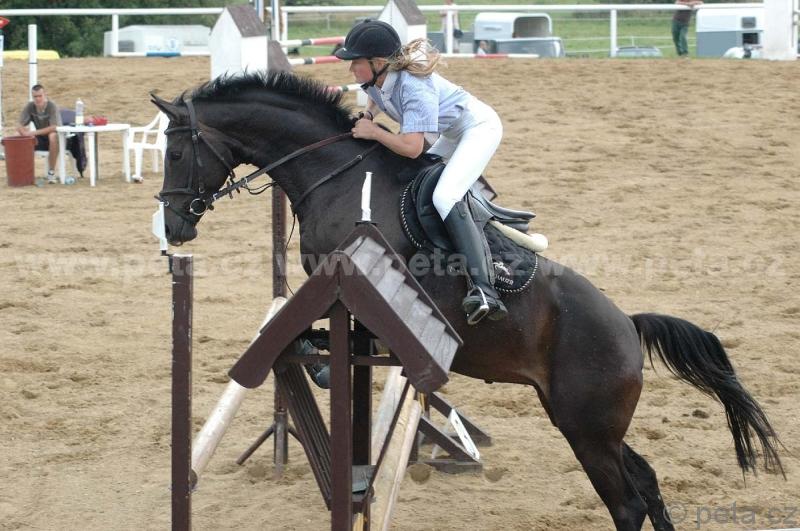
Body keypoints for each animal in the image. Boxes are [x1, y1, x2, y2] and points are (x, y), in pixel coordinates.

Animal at [153, 70, 783, 530]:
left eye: (176, 154)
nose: (175, 227)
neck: (335, 172)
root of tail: (628, 325)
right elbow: (307, 336)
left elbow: (321, 337)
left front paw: (327, 369)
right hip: (584, 422)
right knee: (647, 484)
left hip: (588, 428)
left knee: (627, 503)